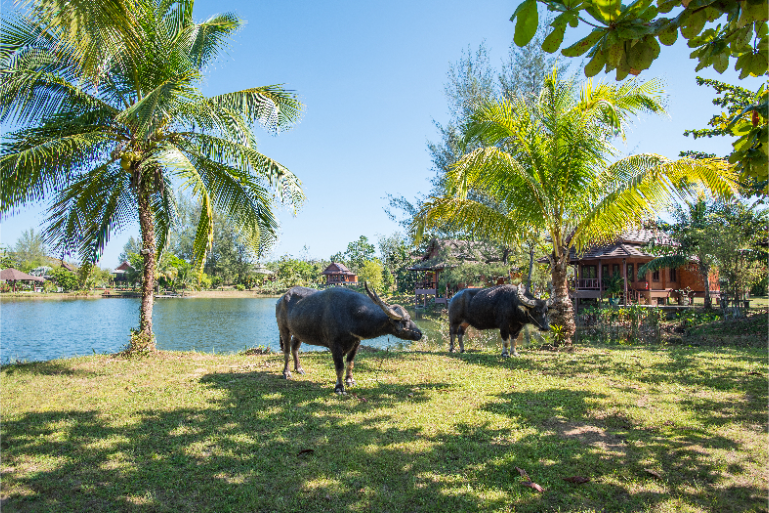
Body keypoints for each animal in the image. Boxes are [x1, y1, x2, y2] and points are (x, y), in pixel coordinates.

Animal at [276, 283, 422, 394]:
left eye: (409, 318)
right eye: (404, 321)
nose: (420, 333)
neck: (351, 314)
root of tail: (281, 298)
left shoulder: (356, 342)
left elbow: (350, 363)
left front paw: (350, 380)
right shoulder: (334, 344)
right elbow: (339, 366)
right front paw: (339, 387)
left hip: (298, 332)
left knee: (295, 348)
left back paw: (299, 369)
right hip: (284, 329)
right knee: (287, 350)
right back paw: (287, 372)